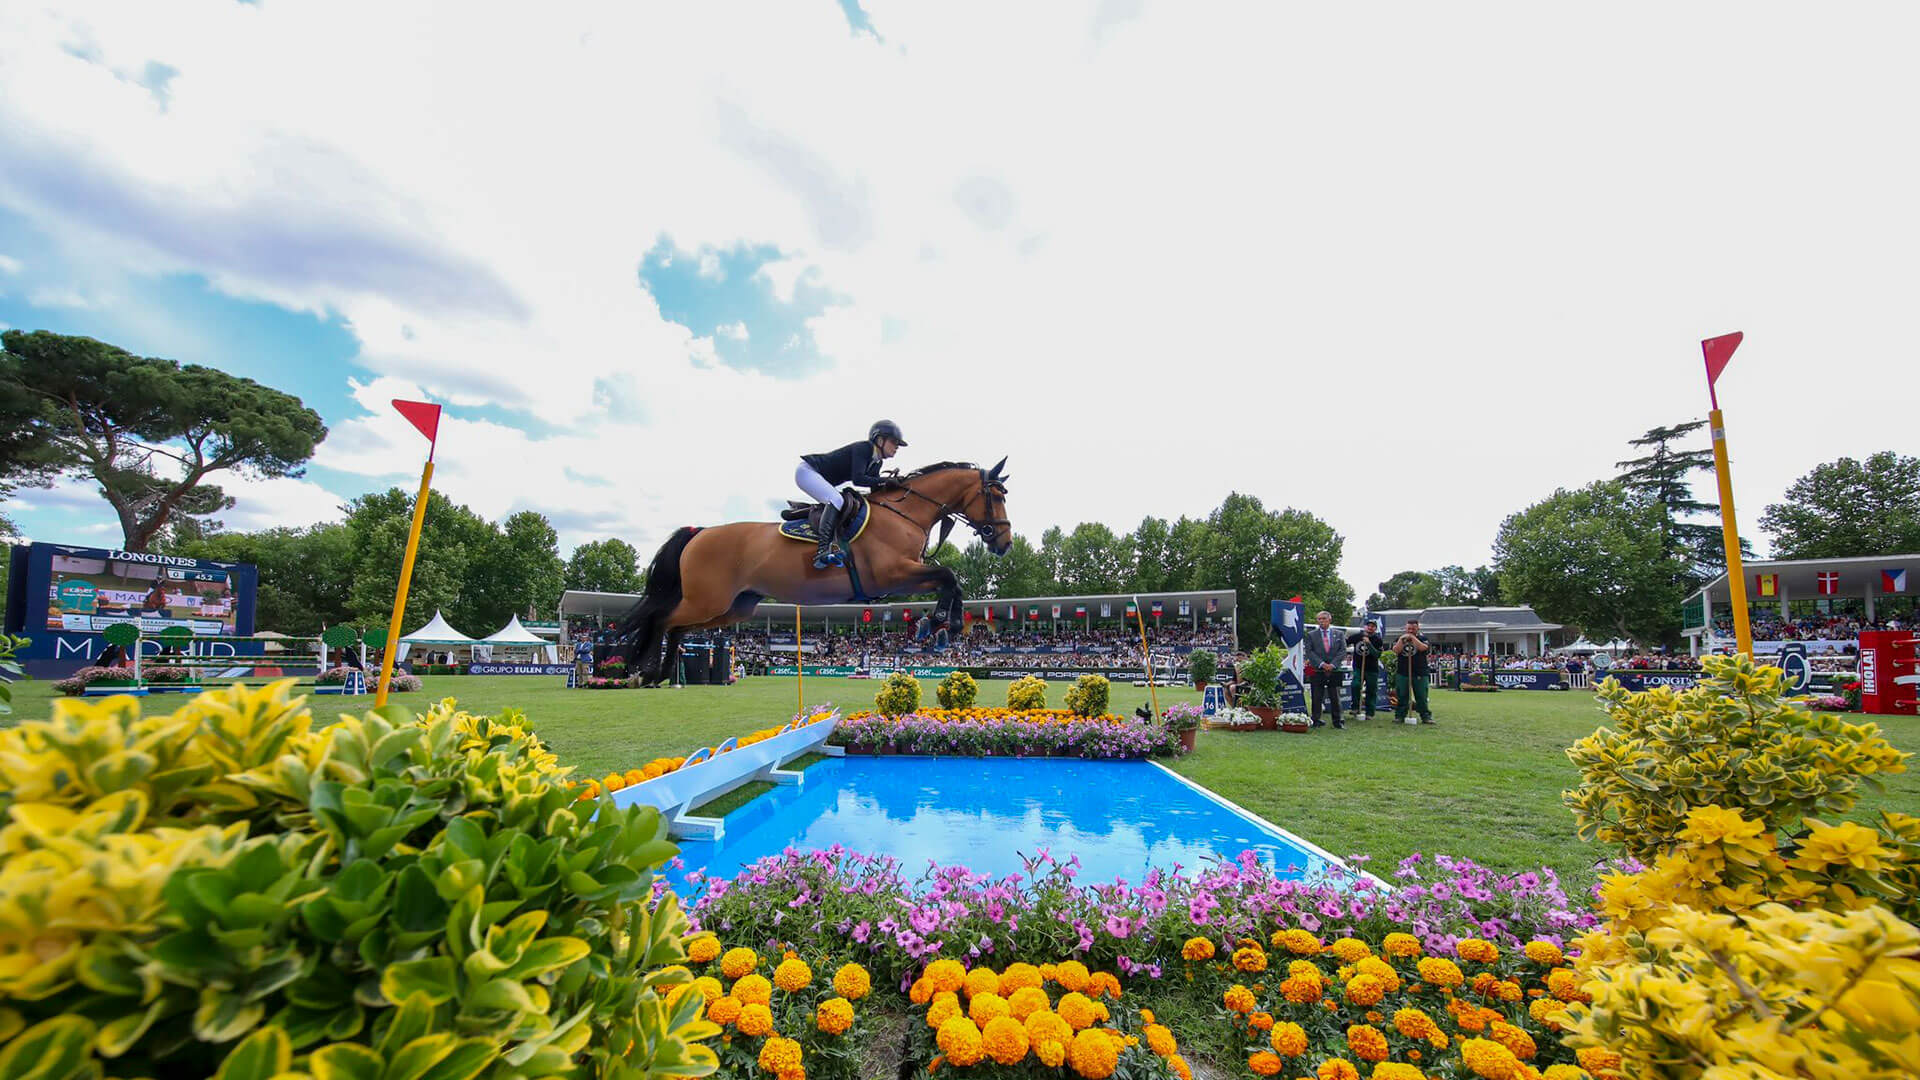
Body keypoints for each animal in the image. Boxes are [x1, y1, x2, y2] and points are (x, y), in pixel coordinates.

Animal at [618, 453, 1013, 680]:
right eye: (995, 496)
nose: (1004, 544)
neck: (905, 513)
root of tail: (700, 532)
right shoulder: (892, 575)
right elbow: (949, 575)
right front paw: (940, 624)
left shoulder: (902, 577)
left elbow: (950, 581)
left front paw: (941, 626)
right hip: (707, 600)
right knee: (661, 619)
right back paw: (644, 670)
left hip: (732, 608)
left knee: (677, 627)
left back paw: (661, 674)